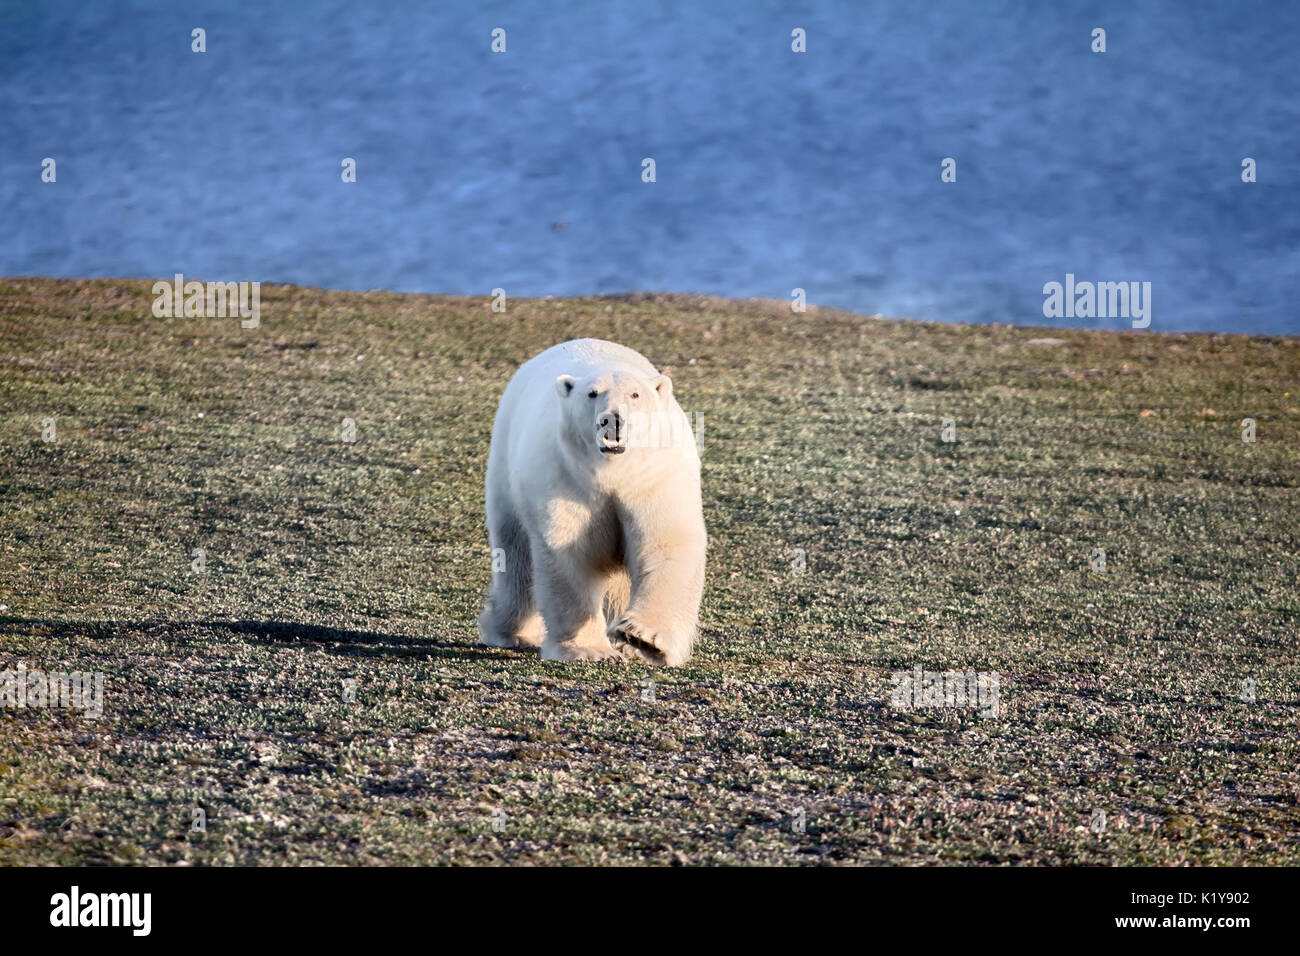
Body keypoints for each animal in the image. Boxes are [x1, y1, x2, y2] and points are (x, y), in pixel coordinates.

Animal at [478, 338, 707, 665]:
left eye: (635, 394)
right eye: (592, 393)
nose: (612, 419)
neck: (613, 470)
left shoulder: (654, 478)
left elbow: (664, 541)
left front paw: (641, 639)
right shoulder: (566, 477)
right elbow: (569, 551)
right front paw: (589, 649)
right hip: (505, 472)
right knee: (514, 556)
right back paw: (510, 631)